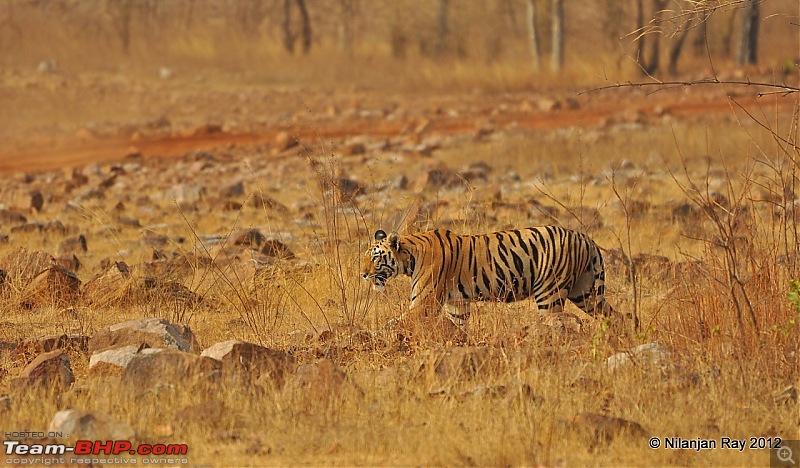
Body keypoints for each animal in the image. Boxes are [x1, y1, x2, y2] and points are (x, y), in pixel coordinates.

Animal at [362, 225, 624, 338]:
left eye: (375, 258)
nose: (363, 274)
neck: (410, 256)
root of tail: (585, 237)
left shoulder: (424, 303)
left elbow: (393, 323)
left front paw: (370, 334)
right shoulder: (457, 305)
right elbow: (458, 326)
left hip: (550, 293)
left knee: (555, 322)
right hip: (587, 293)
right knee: (618, 316)